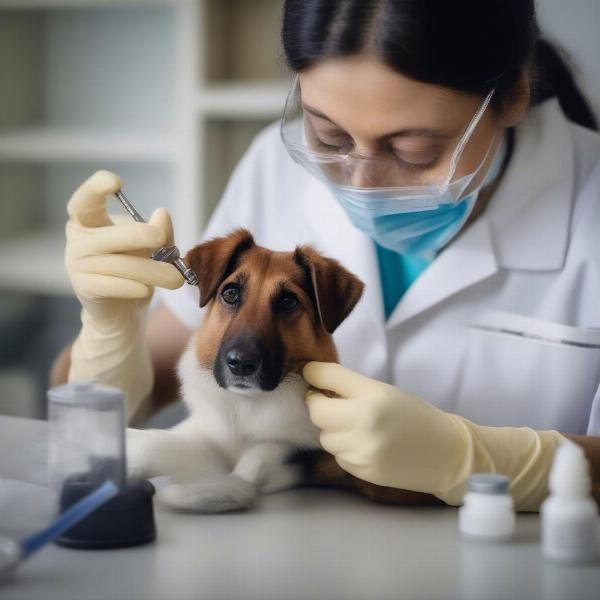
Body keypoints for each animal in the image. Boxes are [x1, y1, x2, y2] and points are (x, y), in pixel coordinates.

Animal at [126, 229, 438, 510]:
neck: (248, 405)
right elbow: (164, 444)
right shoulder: (207, 438)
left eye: (288, 301)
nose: (241, 363)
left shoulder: (296, 450)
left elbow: (250, 470)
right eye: (230, 293)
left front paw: (210, 491)